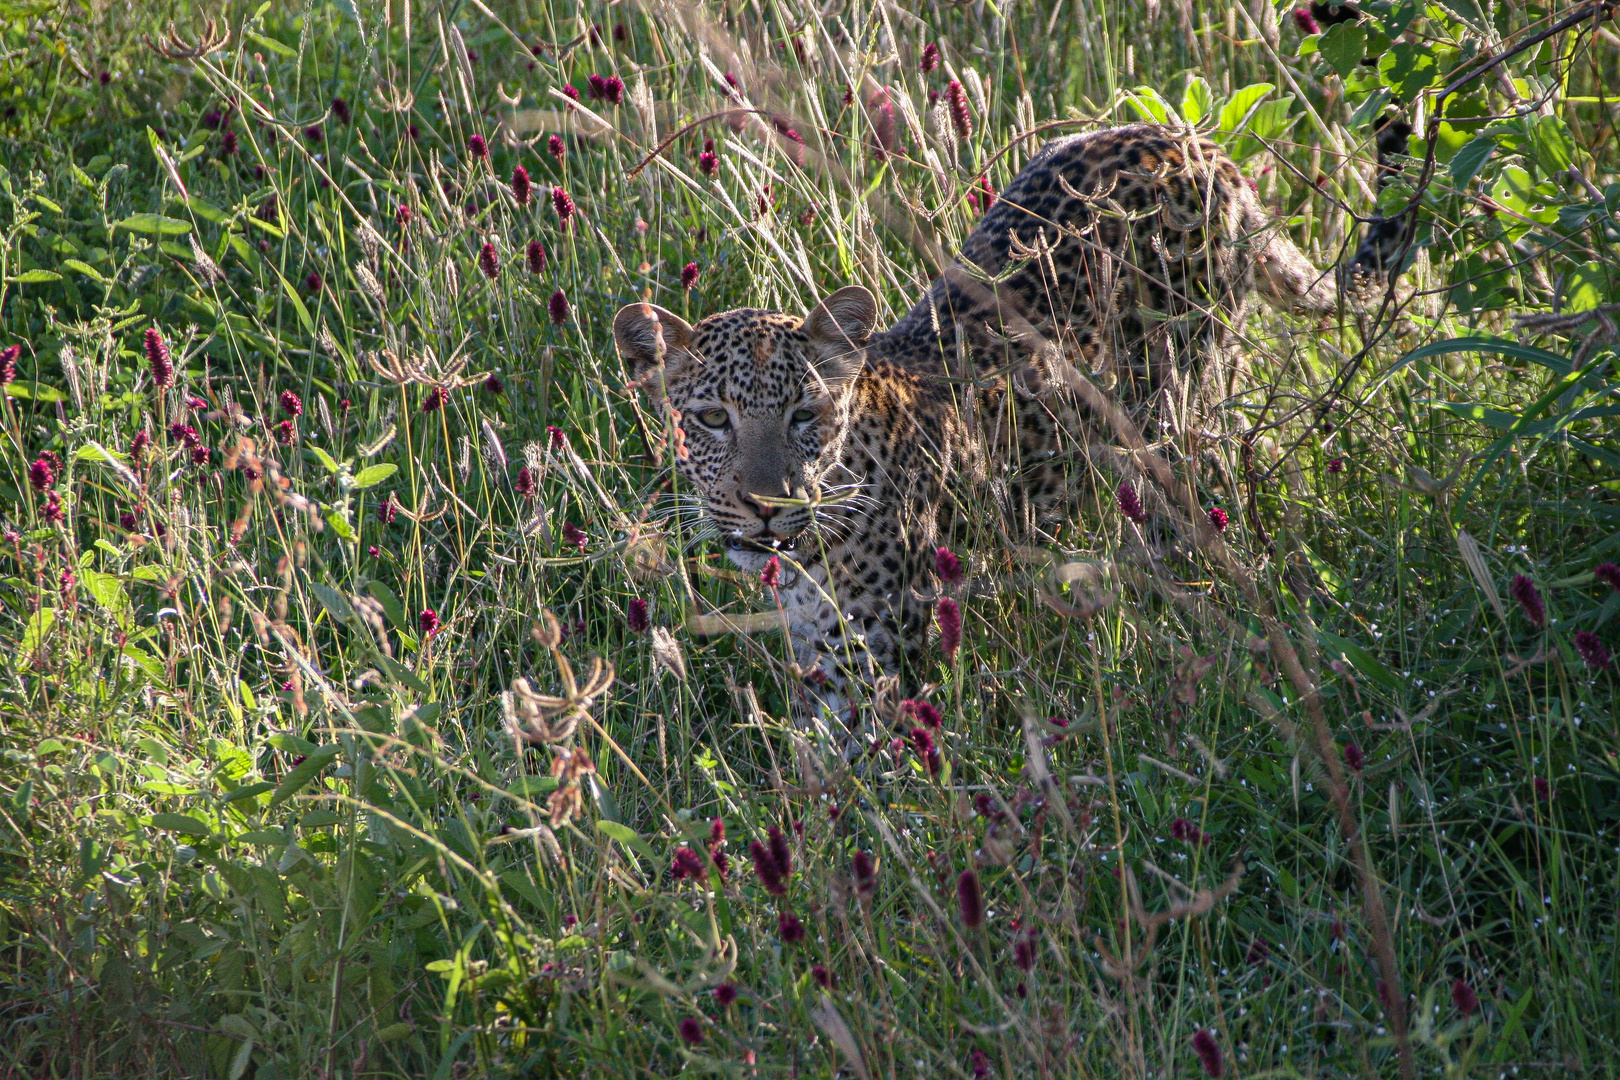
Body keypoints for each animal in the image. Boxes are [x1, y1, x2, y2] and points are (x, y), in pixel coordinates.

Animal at [612, 122, 1412, 722]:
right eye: (712, 418)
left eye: (804, 414)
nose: (765, 507)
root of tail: (1194, 141)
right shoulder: (820, 655)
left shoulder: (875, 663)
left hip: (1184, 402)